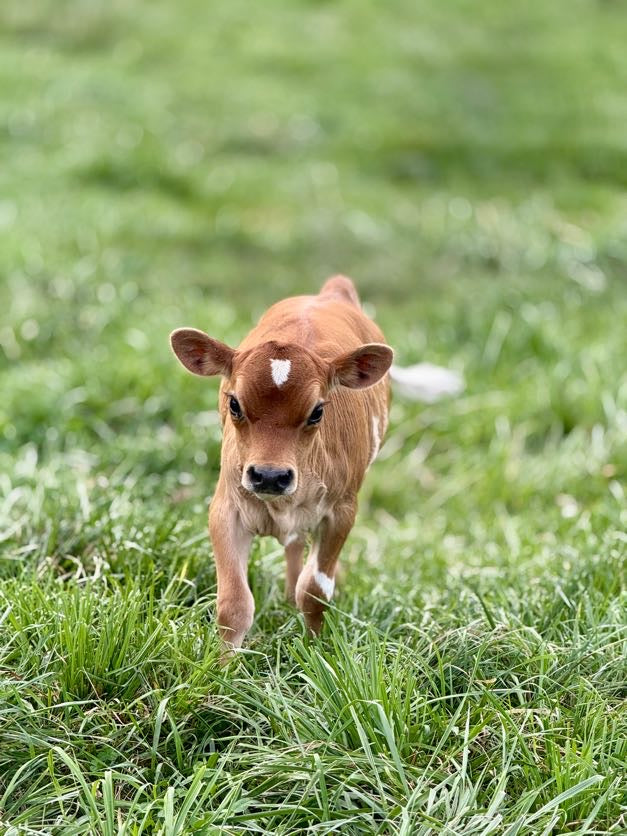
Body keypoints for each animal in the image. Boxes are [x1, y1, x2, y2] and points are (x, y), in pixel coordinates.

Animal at [170, 275, 461, 650]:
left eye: (317, 411)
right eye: (234, 404)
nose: (269, 476)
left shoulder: (342, 512)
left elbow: (315, 591)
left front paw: (314, 651)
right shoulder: (225, 508)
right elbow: (234, 604)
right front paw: (221, 664)